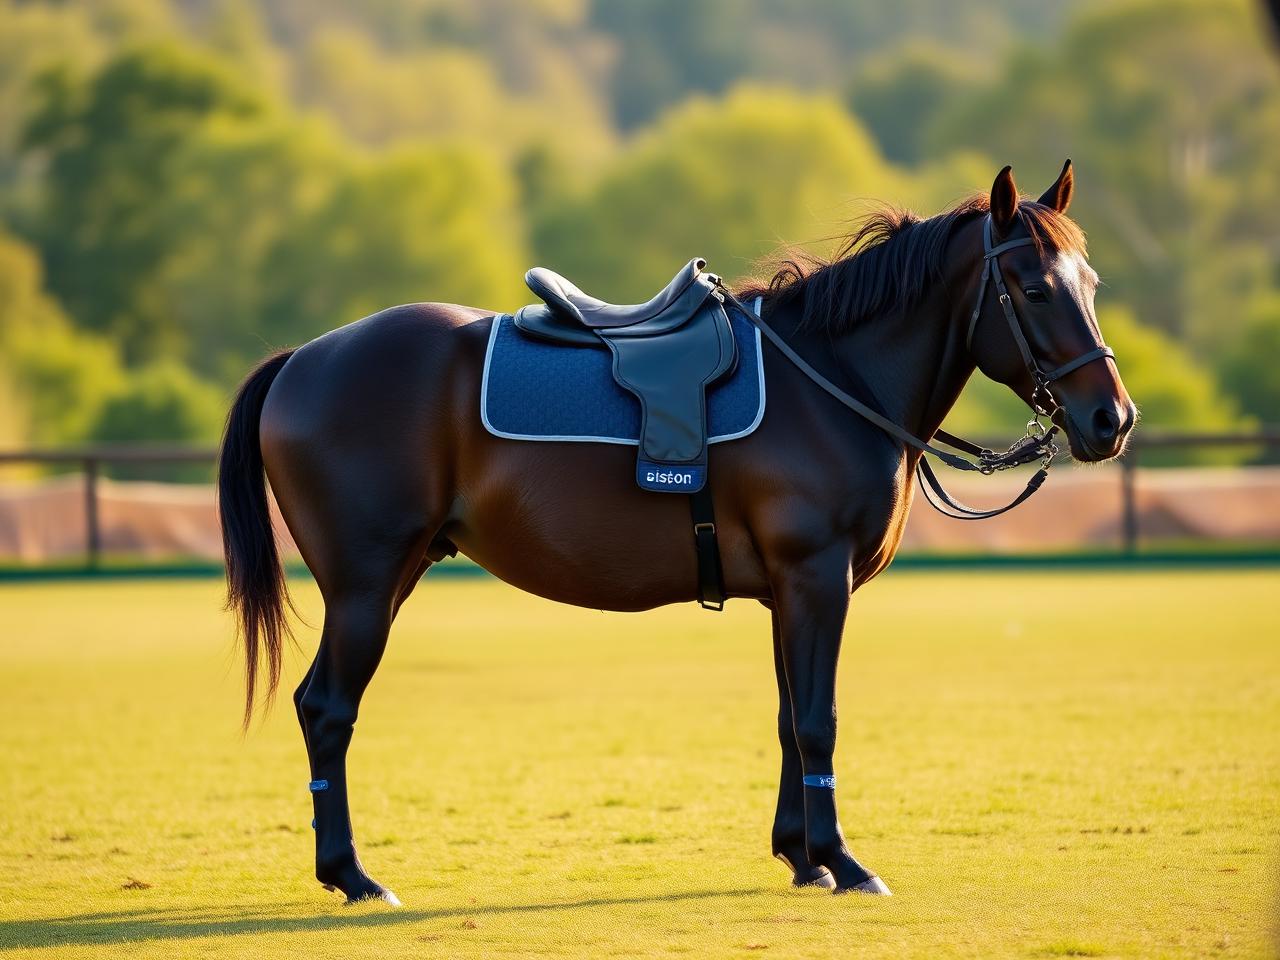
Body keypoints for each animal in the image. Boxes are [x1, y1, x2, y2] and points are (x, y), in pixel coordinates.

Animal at [217, 161, 1135, 904]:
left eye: (1089, 281)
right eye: (1034, 289)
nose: (1112, 420)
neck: (830, 378)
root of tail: (304, 359)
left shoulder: (788, 593)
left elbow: (788, 716)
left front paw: (802, 855)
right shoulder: (817, 578)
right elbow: (820, 719)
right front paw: (844, 861)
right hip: (367, 586)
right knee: (327, 709)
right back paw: (351, 874)